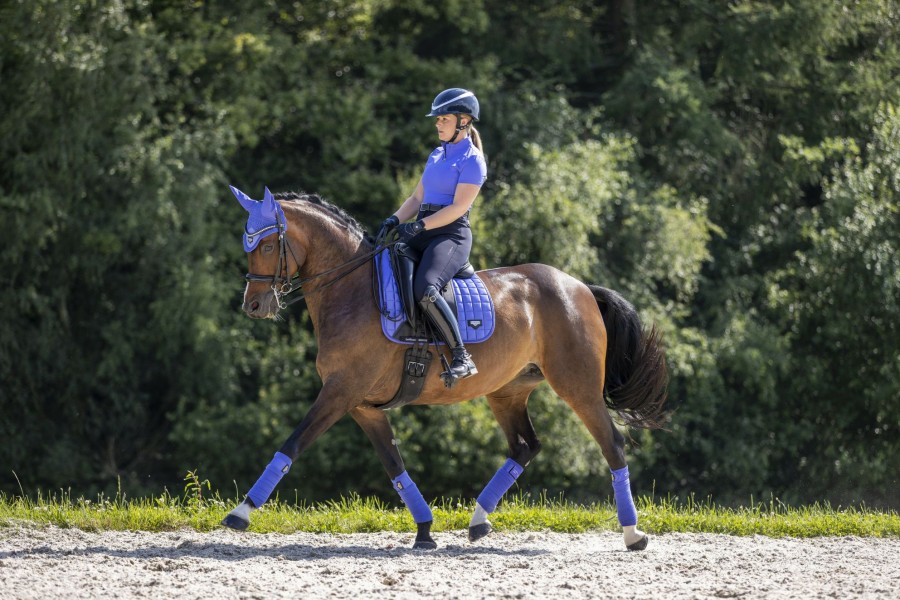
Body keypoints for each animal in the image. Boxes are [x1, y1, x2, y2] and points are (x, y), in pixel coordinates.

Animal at [218, 186, 668, 548]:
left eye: (268, 246)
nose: (254, 306)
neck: (354, 292)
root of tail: (578, 286)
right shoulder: (363, 406)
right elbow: (395, 466)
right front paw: (424, 530)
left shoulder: (340, 392)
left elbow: (292, 444)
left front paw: (241, 512)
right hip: (507, 391)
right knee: (525, 446)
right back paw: (478, 520)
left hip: (578, 387)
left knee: (612, 444)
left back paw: (633, 534)